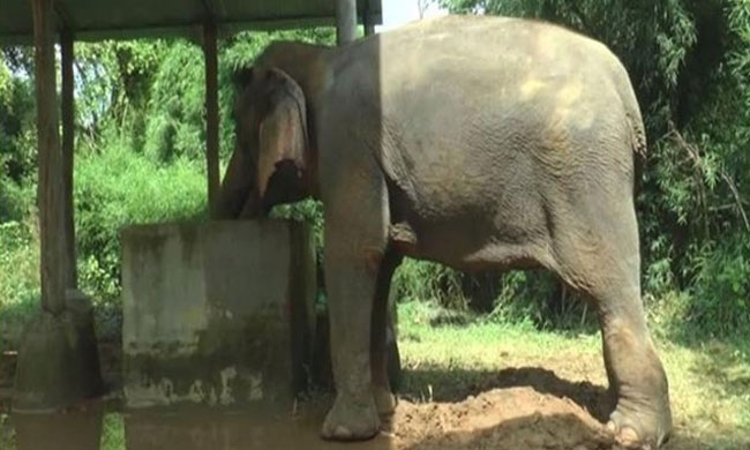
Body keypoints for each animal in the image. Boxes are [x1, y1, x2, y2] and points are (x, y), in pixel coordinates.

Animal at [217, 14, 672, 449]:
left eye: (239, 131)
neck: (320, 60)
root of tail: (623, 87)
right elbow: (381, 266)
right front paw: (385, 410)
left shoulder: (347, 147)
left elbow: (355, 252)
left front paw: (343, 433)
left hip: (585, 178)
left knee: (608, 287)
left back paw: (631, 434)